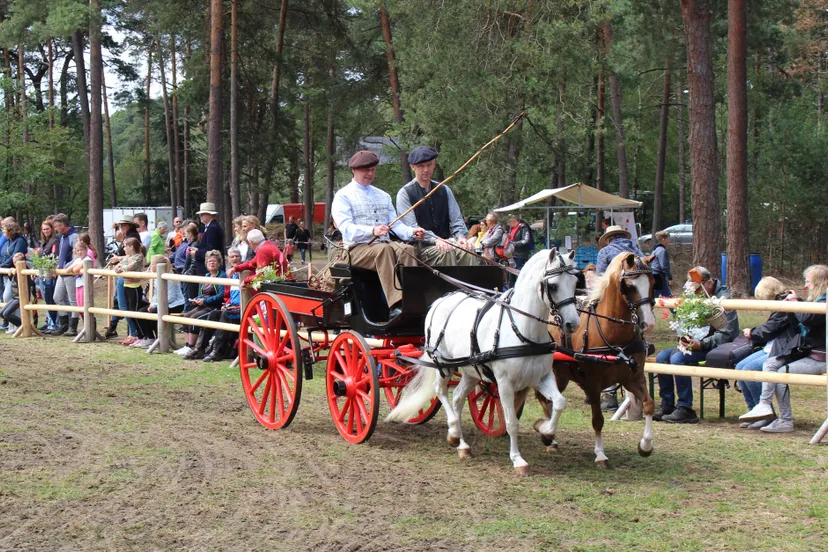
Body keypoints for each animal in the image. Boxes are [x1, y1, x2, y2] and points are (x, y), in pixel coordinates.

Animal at [386, 248, 582, 475]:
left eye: (575, 282)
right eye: (553, 285)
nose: (573, 323)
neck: (522, 329)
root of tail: (440, 301)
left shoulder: (541, 377)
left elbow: (559, 402)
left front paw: (545, 432)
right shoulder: (505, 383)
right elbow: (511, 422)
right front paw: (518, 460)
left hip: (471, 370)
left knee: (458, 397)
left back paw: (462, 445)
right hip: (443, 365)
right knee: (440, 391)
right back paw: (454, 434)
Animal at [538, 252, 657, 468]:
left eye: (652, 282)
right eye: (630, 286)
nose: (649, 323)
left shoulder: (633, 378)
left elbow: (649, 404)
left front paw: (645, 445)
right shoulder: (593, 384)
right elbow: (598, 419)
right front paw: (600, 454)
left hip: (561, 376)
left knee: (548, 399)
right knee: (543, 399)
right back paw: (548, 436)